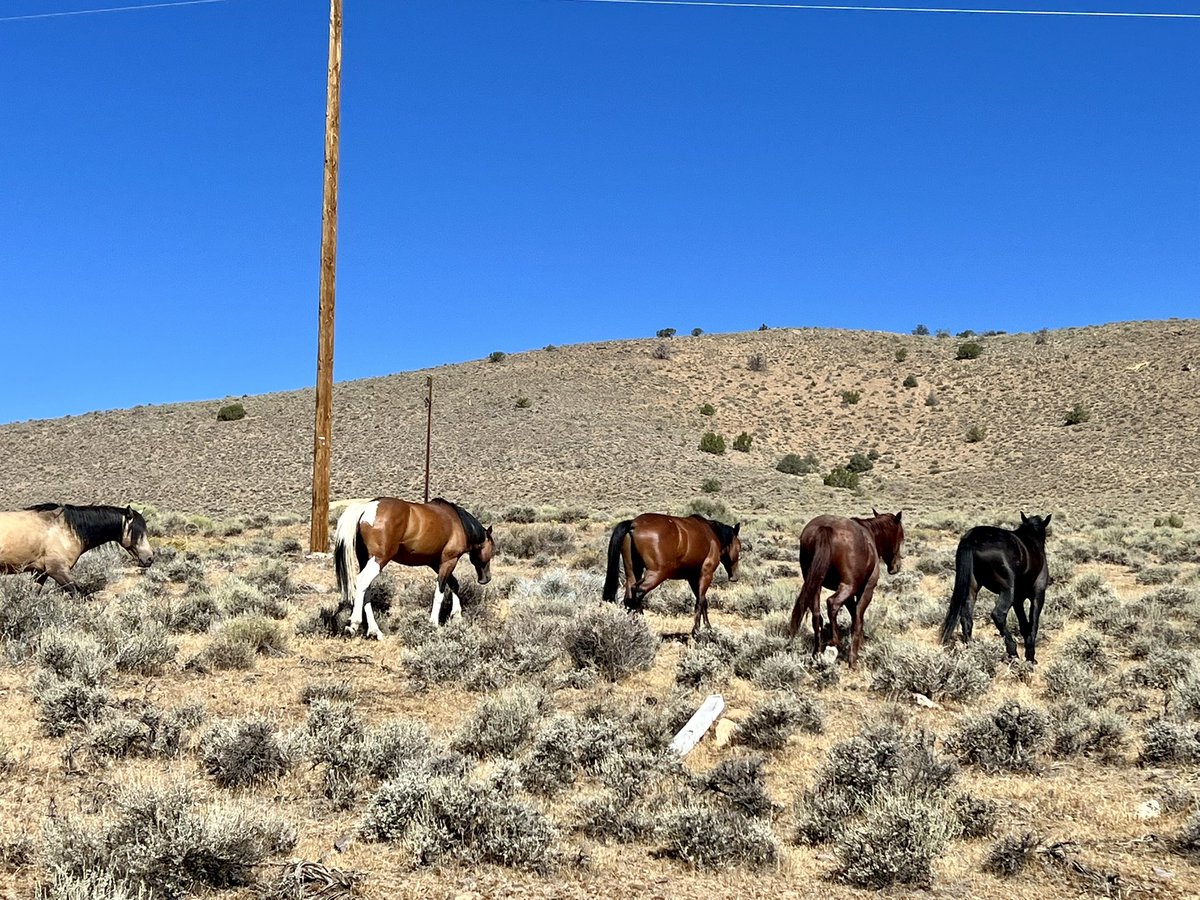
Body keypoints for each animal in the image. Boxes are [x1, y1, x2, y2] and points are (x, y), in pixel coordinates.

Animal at [333, 497, 494, 639]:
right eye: (492, 550)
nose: (486, 579)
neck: (459, 523)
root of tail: (366, 508)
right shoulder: (449, 561)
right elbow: (440, 593)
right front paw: (434, 623)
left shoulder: (436, 564)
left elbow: (454, 584)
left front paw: (456, 616)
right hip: (378, 560)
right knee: (362, 582)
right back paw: (354, 624)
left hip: (366, 560)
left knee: (366, 589)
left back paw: (375, 631)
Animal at [602, 513, 742, 638]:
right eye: (739, 547)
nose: (735, 577)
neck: (712, 534)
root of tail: (633, 524)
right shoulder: (706, 574)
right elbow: (700, 602)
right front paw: (697, 631)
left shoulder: (693, 577)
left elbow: (703, 601)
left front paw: (708, 628)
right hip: (657, 574)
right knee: (637, 592)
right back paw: (643, 626)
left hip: (632, 572)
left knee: (629, 597)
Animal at [787, 510, 904, 668]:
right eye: (901, 537)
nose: (896, 567)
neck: (870, 535)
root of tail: (826, 528)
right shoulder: (865, 590)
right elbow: (858, 618)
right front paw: (853, 658)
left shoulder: (850, 594)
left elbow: (854, 615)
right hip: (848, 586)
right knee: (832, 603)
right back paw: (835, 639)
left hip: (815, 584)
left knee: (817, 616)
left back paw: (816, 654)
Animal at [940, 512, 1051, 663]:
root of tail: (972, 538)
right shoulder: (1038, 594)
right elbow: (1033, 623)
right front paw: (1030, 658)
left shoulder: (1018, 599)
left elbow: (1024, 625)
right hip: (1007, 590)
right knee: (998, 614)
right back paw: (1012, 652)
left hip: (972, 588)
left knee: (966, 618)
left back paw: (972, 651)